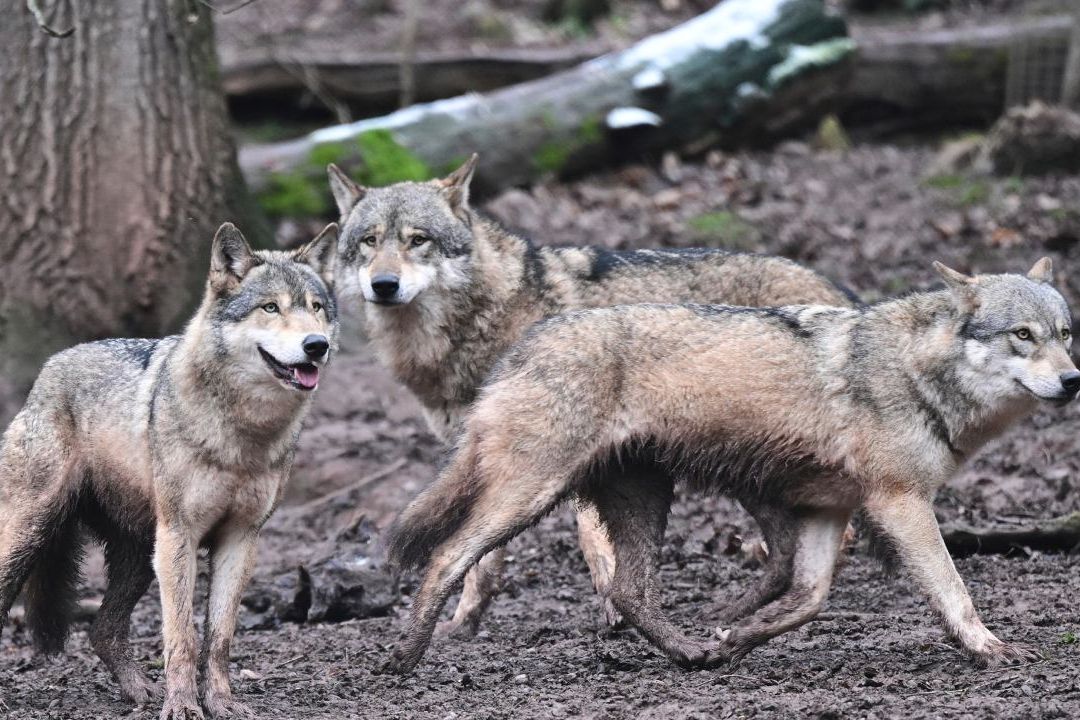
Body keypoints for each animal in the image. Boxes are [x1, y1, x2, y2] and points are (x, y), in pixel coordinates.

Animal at [0, 223, 338, 719]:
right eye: (270, 307)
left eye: (316, 308)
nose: (317, 346)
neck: (242, 434)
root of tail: (48, 370)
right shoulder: (180, 536)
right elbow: (182, 636)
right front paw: (182, 707)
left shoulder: (241, 539)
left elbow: (219, 637)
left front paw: (221, 702)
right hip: (34, 535)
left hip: (140, 556)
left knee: (101, 630)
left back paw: (139, 691)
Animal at [327, 155, 857, 635]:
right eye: (370, 241)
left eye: (418, 240)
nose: (384, 284)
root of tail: (841, 293)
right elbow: (483, 561)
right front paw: (463, 623)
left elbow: (591, 542)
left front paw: (614, 611)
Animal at [383, 258, 1079, 673]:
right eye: (1022, 336)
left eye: (1065, 333)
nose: (1074, 381)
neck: (917, 374)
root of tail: (522, 347)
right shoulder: (900, 503)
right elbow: (954, 592)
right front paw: (990, 649)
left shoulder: (830, 510)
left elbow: (808, 598)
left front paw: (734, 638)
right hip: (530, 496)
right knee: (445, 557)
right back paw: (401, 660)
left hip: (646, 498)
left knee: (628, 591)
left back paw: (691, 652)